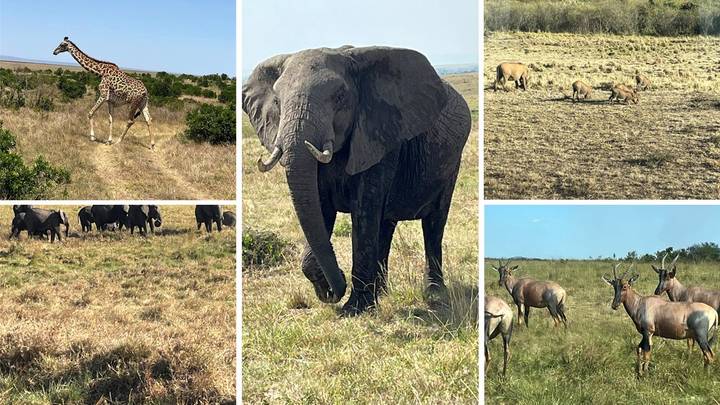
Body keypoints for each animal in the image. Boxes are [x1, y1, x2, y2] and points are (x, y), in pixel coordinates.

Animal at [242, 46, 471, 315]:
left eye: (340, 97)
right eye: (277, 101)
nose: (334, 290)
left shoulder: (379, 137)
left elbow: (363, 211)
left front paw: (354, 309)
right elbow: (320, 208)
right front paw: (329, 287)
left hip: (452, 162)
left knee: (434, 222)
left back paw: (433, 292)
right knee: (386, 225)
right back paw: (381, 292)